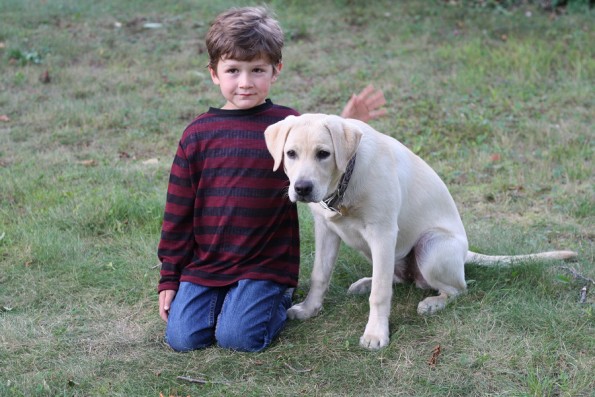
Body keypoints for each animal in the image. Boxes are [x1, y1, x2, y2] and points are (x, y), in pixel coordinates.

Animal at [264, 113, 576, 348]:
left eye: (324, 154)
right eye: (291, 154)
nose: (302, 188)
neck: (343, 184)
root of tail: (465, 252)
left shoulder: (382, 233)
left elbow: (380, 294)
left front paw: (376, 334)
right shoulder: (326, 230)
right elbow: (320, 275)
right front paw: (309, 309)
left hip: (431, 247)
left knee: (458, 288)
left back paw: (433, 303)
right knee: (395, 277)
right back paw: (365, 282)